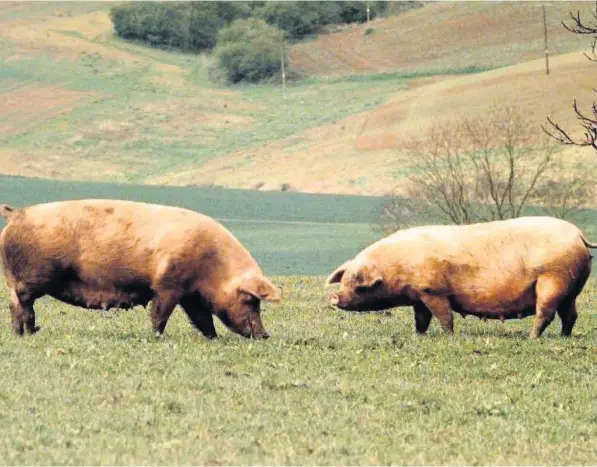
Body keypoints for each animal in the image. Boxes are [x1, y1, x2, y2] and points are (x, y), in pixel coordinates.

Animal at [0, 199, 280, 338]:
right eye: (251, 300)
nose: (265, 335)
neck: (214, 267)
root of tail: (16, 214)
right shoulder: (168, 284)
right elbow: (160, 313)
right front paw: (157, 337)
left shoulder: (190, 294)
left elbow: (202, 318)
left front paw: (214, 338)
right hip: (32, 278)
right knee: (21, 304)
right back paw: (26, 334)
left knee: (20, 306)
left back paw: (26, 333)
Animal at [326, 218, 596, 338]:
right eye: (344, 280)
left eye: (358, 286)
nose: (333, 298)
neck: (397, 266)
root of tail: (578, 235)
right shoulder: (419, 296)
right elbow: (420, 319)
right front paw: (418, 336)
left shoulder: (433, 290)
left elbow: (444, 316)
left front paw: (449, 336)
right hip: (571, 287)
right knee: (570, 315)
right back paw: (564, 337)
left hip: (553, 279)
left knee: (546, 313)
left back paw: (531, 337)